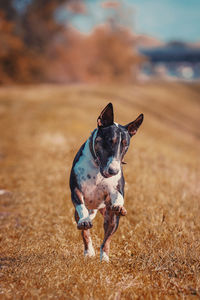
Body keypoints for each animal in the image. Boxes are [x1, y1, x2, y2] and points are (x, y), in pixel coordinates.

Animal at [69, 103, 143, 262]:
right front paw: (85, 221)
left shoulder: (116, 189)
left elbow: (118, 196)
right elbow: (81, 208)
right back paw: (89, 251)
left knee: (107, 239)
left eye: (125, 145)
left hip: (112, 219)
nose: (114, 170)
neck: (98, 168)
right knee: (85, 231)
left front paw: (119, 205)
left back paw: (104, 257)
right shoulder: (76, 189)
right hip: (81, 214)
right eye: (110, 141)